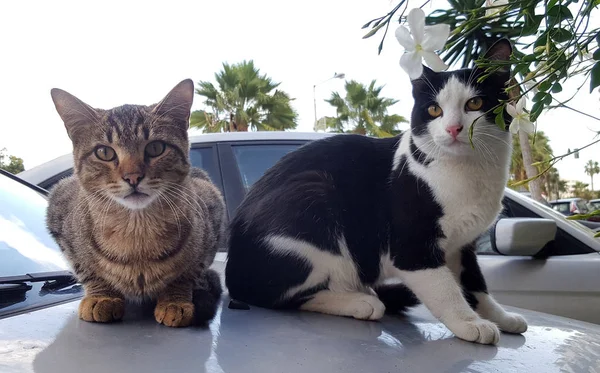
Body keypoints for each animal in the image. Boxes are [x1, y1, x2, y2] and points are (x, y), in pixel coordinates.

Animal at [47, 78, 225, 326]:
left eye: (156, 148)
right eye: (104, 152)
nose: (132, 177)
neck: (136, 230)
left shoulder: (212, 209)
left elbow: (187, 273)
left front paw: (175, 300)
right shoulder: (59, 205)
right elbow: (86, 269)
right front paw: (101, 296)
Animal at [225, 39, 524, 344]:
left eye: (474, 103)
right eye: (434, 110)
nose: (453, 128)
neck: (469, 171)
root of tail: (233, 271)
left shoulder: (461, 247)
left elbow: (475, 284)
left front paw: (501, 317)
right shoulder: (410, 247)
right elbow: (445, 289)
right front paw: (469, 322)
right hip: (312, 195)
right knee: (281, 296)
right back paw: (360, 302)